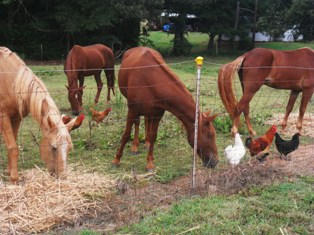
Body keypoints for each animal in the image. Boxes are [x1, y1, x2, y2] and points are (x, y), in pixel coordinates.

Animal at [0, 46, 74, 184]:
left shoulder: (16, 118)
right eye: (54, 147)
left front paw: (9, 172)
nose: (62, 177)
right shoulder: (3, 117)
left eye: (69, 148)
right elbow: (13, 147)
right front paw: (14, 178)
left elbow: (11, 145)